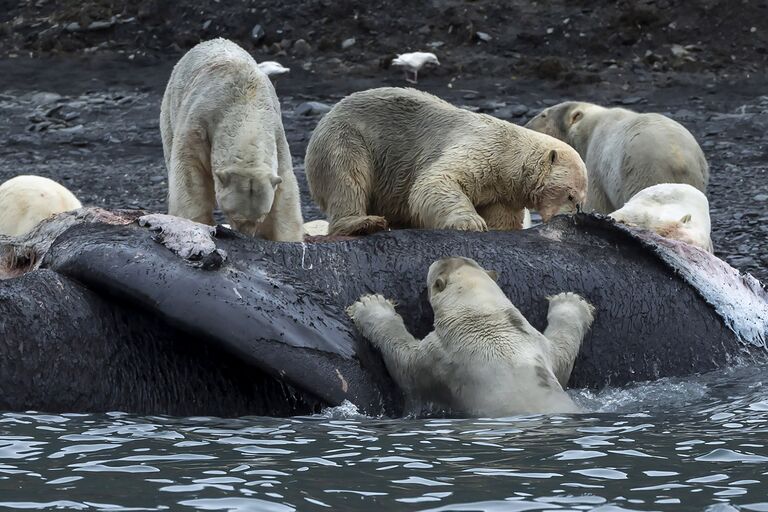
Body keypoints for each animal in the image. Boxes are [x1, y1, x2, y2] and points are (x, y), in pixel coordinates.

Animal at [159, 38, 304, 242]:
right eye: (235, 215)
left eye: (261, 217)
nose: (246, 236)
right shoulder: (199, 123)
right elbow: (189, 173)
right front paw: (195, 224)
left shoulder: (277, 133)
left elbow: (286, 190)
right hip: (171, 106)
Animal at [306, 88, 588, 238]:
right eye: (571, 195)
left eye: (580, 200)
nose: (570, 217)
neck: (510, 155)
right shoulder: (483, 151)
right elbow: (436, 182)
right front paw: (471, 222)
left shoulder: (502, 192)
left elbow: (502, 217)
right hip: (347, 136)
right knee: (347, 175)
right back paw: (363, 222)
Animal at [344, 256, 596, 416]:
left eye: (436, 270)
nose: (441, 255)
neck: (485, 317)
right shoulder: (535, 343)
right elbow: (562, 355)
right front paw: (571, 299)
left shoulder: (442, 355)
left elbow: (406, 364)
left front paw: (371, 305)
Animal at [524, 101, 712, 213]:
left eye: (543, 114)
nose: (525, 125)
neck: (591, 126)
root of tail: (679, 159)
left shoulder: (596, 160)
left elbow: (597, 203)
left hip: (641, 173)